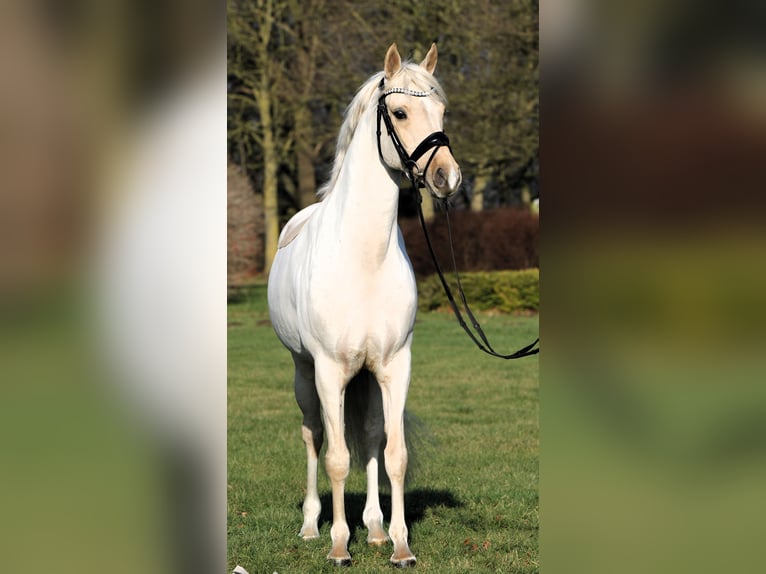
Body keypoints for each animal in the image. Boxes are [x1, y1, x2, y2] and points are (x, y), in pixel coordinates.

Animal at [270, 42, 462, 568]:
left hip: (370, 376)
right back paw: (311, 526)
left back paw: (374, 529)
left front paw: (399, 545)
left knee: (374, 437)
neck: (364, 258)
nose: (447, 177)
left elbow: (393, 453)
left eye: (442, 111)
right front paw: (339, 546)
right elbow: (337, 459)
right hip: (304, 373)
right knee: (314, 436)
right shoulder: (329, 369)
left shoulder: (395, 365)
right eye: (399, 113)